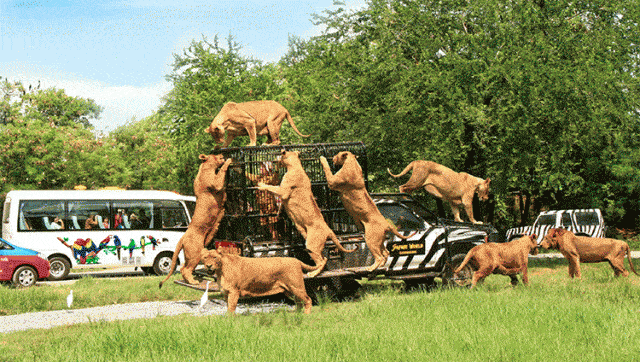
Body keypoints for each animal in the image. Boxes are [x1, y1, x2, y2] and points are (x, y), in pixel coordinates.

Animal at [159, 153, 234, 288]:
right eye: (215, 155)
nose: (221, 155)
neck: (205, 167)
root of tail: (183, 237)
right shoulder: (215, 183)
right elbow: (221, 173)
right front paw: (228, 161)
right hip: (195, 253)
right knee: (186, 269)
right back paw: (194, 282)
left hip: (189, 255)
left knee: (183, 267)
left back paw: (191, 281)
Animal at [258, 150, 358, 278]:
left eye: (279, 157)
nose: (275, 163)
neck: (295, 166)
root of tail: (329, 229)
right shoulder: (284, 197)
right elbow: (281, 205)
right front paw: (279, 214)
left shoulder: (284, 191)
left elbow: (271, 187)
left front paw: (261, 185)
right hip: (313, 245)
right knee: (323, 258)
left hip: (311, 245)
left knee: (322, 261)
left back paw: (312, 273)